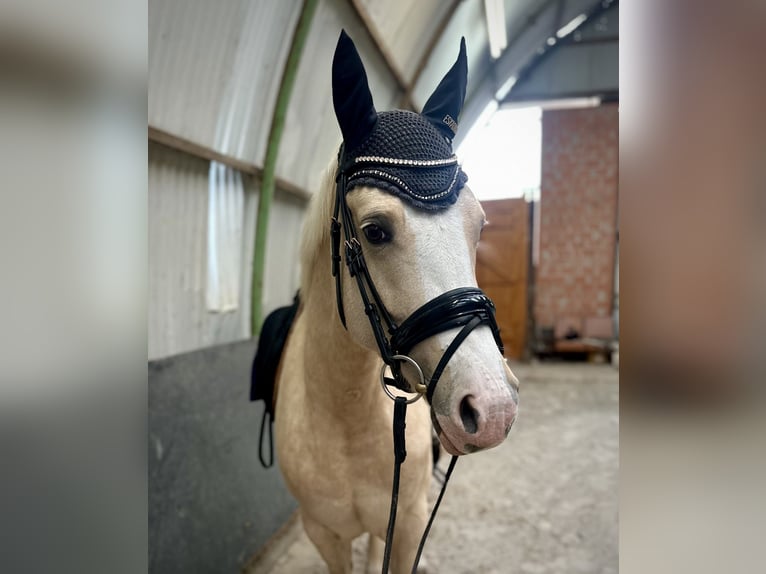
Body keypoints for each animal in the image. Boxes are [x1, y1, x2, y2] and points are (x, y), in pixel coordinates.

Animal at [273, 31, 519, 574]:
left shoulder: (407, 523)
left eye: (479, 225)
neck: (346, 414)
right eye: (375, 231)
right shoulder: (324, 534)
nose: (492, 407)